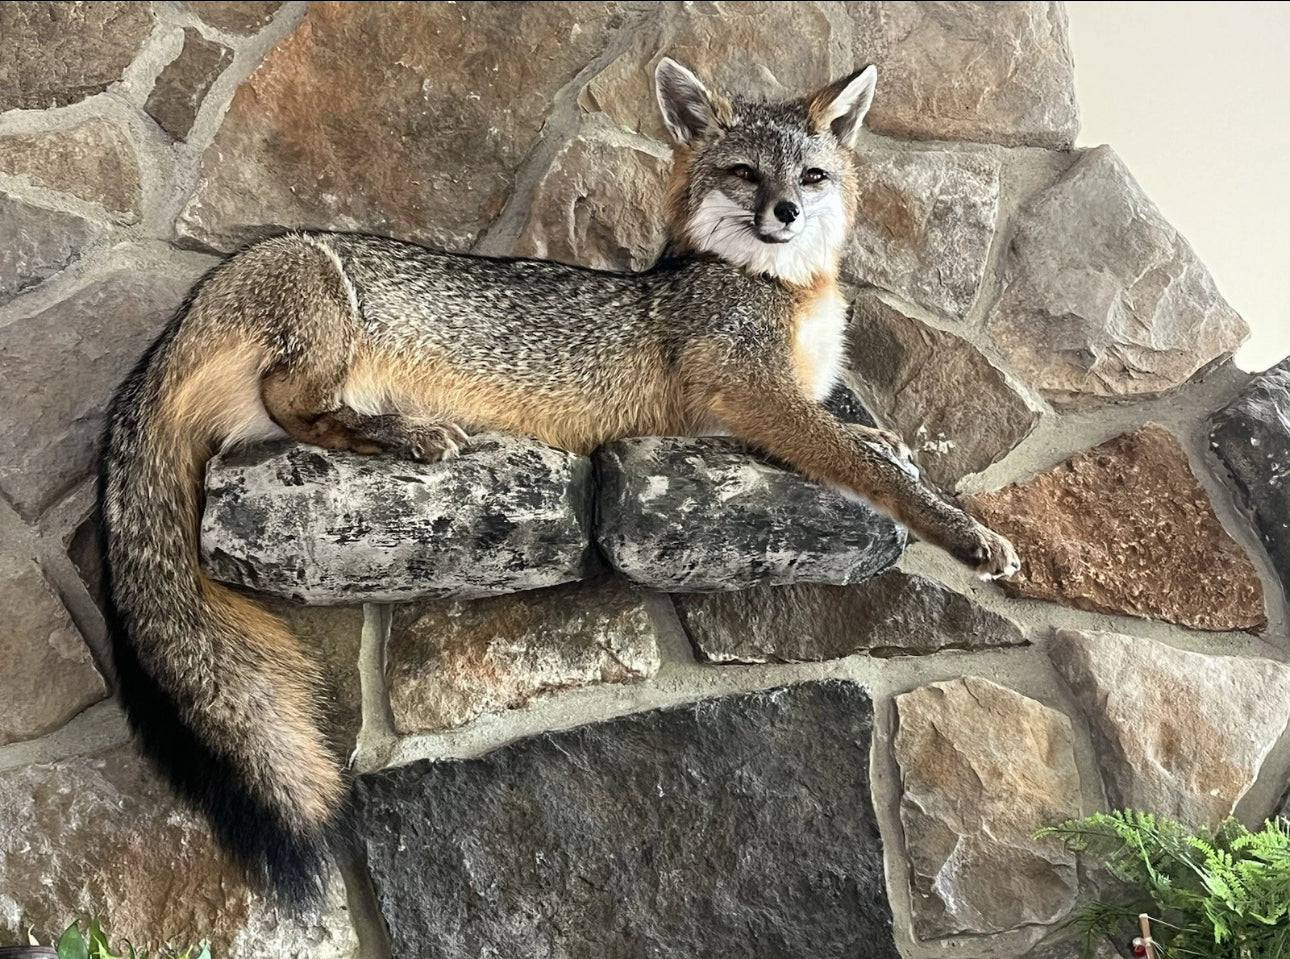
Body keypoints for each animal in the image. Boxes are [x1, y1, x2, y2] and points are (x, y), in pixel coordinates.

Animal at [99, 57, 1019, 904]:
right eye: (745, 174)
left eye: (811, 177)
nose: (785, 213)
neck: (789, 291)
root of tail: (180, 316)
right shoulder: (756, 402)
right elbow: (865, 466)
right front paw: (967, 532)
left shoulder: (756, 415)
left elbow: (866, 440)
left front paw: (894, 440)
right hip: (323, 297)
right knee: (292, 404)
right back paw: (407, 433)